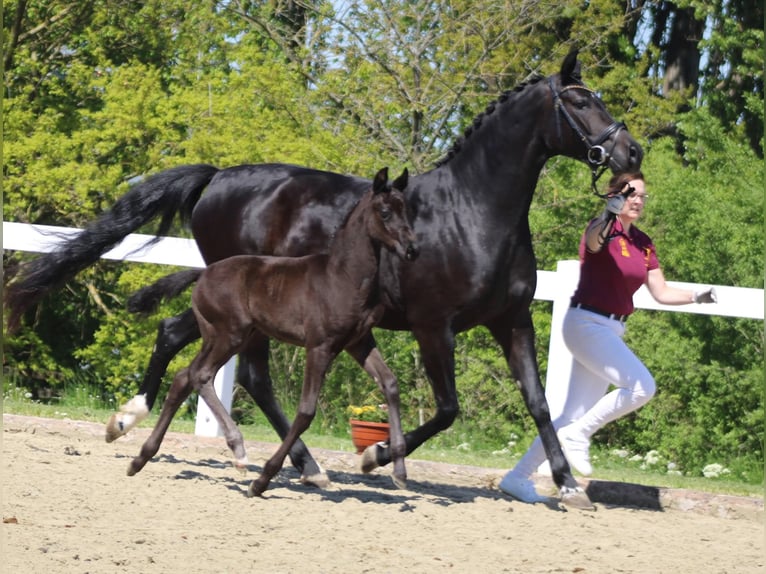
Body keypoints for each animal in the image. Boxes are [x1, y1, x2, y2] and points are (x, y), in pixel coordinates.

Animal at [127, 167, 418, 495]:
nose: (412, 249)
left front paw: (399, 471)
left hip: (219, 336)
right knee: (201, 376)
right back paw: (238, 450)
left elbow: (390, 384)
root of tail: (203, 273)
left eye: (407, 211)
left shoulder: (359, 342)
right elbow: (305, 411)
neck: (342, 277)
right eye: (385, 212)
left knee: (183, 377)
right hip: (232, 335)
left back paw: (141, 458)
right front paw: (263, 479)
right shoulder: (320, 346)